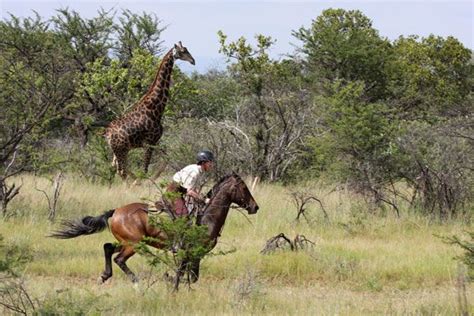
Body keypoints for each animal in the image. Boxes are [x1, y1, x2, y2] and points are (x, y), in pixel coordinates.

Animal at [51, 173, 260, 284]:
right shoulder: (193, 252)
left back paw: (105, 276)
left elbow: (189, 276)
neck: (207, 217)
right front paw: (171, 281)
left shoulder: (192, 254)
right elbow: (189, 276)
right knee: (119, 259)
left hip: (128, 241)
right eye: (244, 188)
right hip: (134, 244)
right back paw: (136, 281)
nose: (255, 207)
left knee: (108, 248)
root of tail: (116, 211)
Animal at [105, 41, 194, 179]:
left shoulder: (154, 141)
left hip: (120, 150)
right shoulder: (149, 142)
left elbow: (166, 159)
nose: (193, 60)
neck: (155, 108)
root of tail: (108, 135)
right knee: (121, 171)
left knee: (117, 167)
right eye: (183, 51)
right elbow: (145, 169)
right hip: (121, 150)